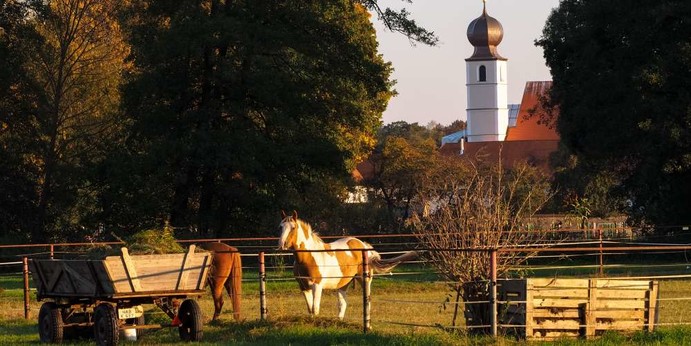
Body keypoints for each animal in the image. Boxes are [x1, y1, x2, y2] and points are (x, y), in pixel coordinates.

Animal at [278, 211, 418, 324]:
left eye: (293, 227)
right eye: (281, 227)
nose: (281, 244)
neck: (309, 257)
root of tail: (364, 246)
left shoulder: (317, 286)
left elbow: (315, 308)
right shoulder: (303, 286)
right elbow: (310, 308)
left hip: (364, 279)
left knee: (367, 300)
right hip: (343, 283)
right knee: (343, 303)